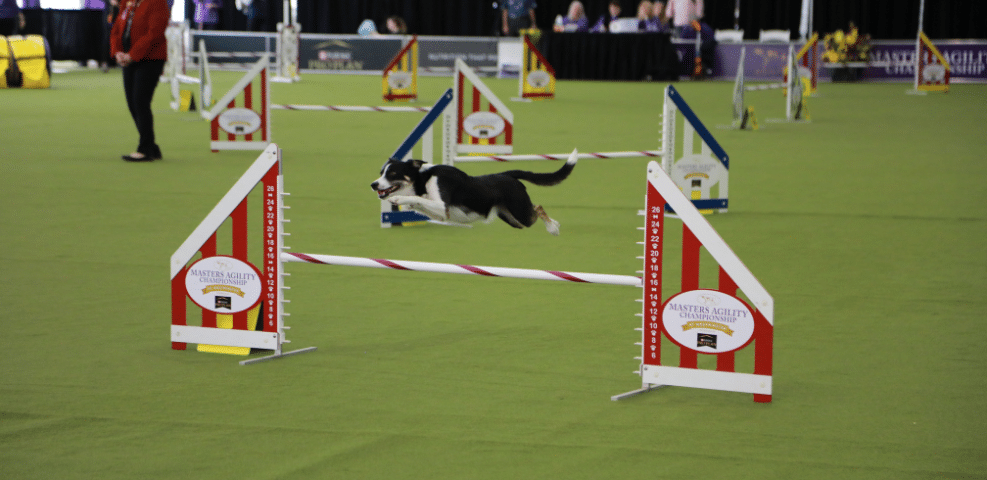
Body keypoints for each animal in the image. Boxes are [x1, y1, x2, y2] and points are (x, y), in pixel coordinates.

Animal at [374, 148, 584, 234]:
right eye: (381, 173)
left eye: (392, 174)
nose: (373, 185)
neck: (423, 179)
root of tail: (508, 175)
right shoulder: (441, 215)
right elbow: (417, 202)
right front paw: (402, 201)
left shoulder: (443, 206)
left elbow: (419, 199)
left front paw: (398, 199)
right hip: (512, 218)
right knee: (536, 209)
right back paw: (555, 224)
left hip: (520, 213)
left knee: (538, 208)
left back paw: (552, 228)